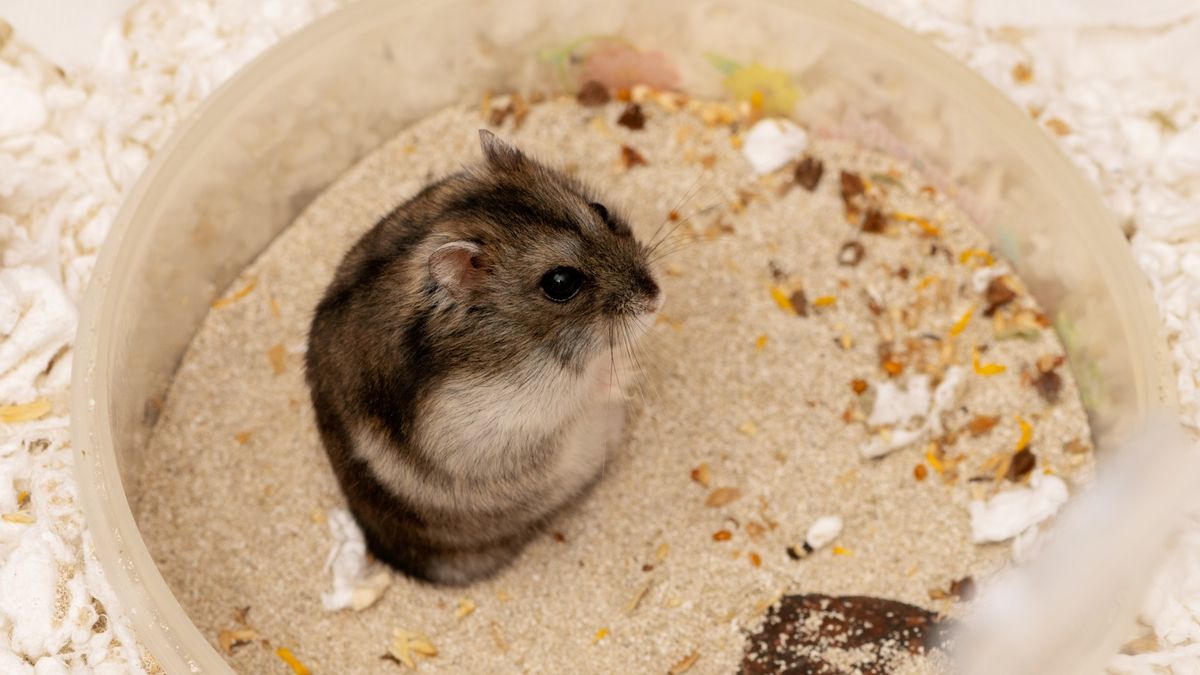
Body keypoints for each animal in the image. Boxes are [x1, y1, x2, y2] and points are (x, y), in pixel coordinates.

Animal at [305, 130, 661, 585]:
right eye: (561, 282)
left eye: (599, 209)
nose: (656, 296)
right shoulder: (527, 411)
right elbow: (590, 385)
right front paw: (624, 377)